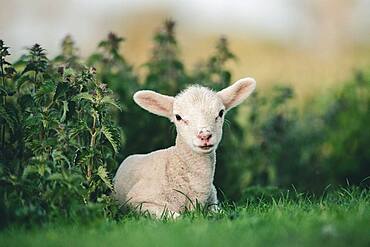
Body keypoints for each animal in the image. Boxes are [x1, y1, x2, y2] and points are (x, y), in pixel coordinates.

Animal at [114, 76, 256, 217]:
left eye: (221, 113)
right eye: (178, 117)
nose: (204, 135)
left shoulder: (214, 203)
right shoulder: (139, 201)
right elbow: (177, 217)